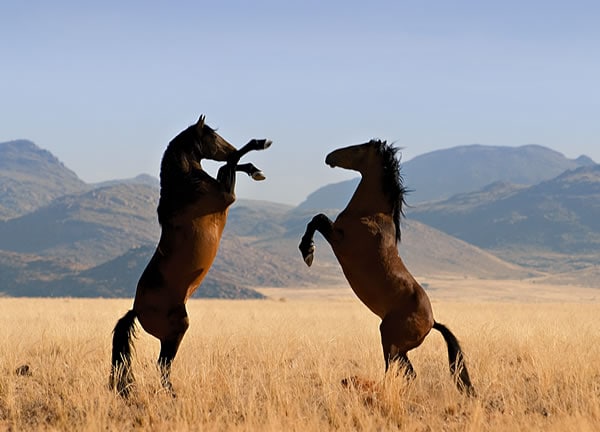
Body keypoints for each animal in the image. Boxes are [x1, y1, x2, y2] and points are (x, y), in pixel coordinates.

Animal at [110, 115, 272, 398]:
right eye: (212, 136)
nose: (228, 147)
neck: (186, 187)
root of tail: (136, 310)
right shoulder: (226, 195)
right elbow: (231, 163)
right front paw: (260, 144)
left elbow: (229, 166)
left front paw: (254, 169)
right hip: (176, 330)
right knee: (163, 364)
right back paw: (173, 394)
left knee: (162, 364)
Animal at [298, 139, 474, 394]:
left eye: (358, 148)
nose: (329, 157)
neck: (370, 214)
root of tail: (432, 323)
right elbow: (316, 218)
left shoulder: (340, 240)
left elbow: (318, 219)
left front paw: (307, 252)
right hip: (399, 348)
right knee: (408, 372)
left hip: (389, 340)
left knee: (396, 370)